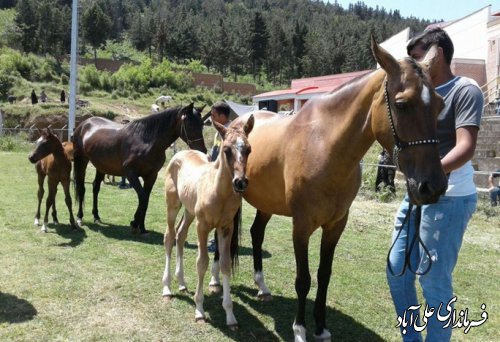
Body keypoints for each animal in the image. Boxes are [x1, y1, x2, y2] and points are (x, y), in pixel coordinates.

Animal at [73, 102, 207, 235]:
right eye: (189, 124)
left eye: (202, 124)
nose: (202, 150)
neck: (146, 141)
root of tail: (84, 124)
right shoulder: (131, 174)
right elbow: (142, 197)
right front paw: (134, 223)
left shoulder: (151, 175)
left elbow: (146, 199)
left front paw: (141, 227)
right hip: (81, 161)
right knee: (81, 188)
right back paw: (79, 217)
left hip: (101, 166)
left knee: (95, 187)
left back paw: (96, 216)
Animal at [161, 114, 254, 328]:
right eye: (226, 150)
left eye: (248, 149)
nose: (240, 182)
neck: (220, 192)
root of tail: (180, 153)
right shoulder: (202, 226)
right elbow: (201, 262)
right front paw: (199, 310)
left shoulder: (226, 227)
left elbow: (225, 264)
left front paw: (230, 315)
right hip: (173, 205)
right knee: (169, 237)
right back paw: (167, 288)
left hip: (189, 211)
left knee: (180, 234)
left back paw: (182, 283)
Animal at [225, 36, 448, 340]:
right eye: (402, 104)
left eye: (439, 104)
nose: (432, 186)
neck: (324, 145)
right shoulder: (301, 226)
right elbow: (303, 279)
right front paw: (300, 328)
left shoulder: (335, 225)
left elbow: (324, 275)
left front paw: (321, 327)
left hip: (266, 203)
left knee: (256, 234)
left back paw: (262, 287)